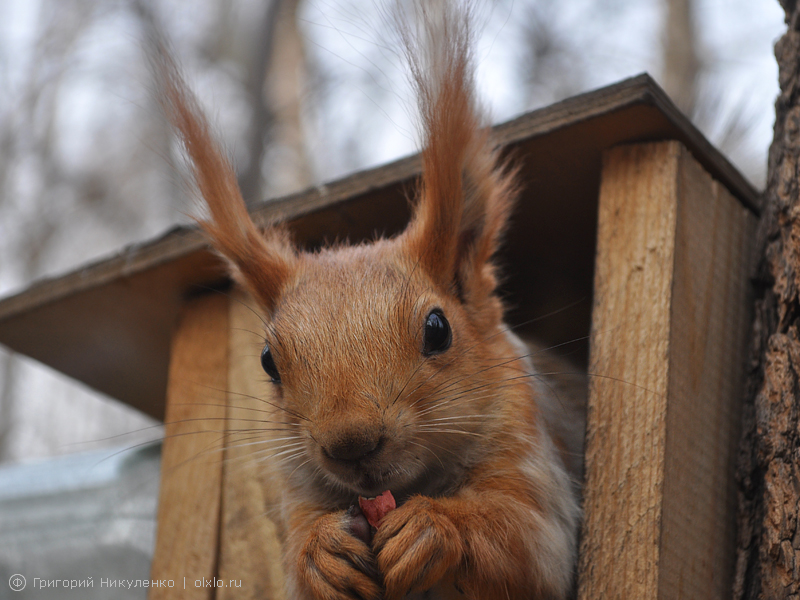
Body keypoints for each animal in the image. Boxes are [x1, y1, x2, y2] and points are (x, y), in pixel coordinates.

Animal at [155, 2, 580, 596]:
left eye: (438, 329)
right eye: (267, 361)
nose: (350, 444)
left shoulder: (529, 456)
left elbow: (524, 542)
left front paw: (434, 526)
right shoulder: (299, 496)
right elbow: (300, 553)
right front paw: (320, 552)